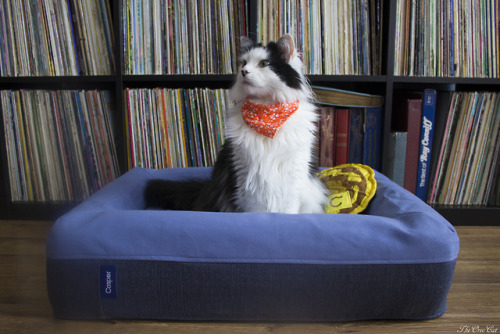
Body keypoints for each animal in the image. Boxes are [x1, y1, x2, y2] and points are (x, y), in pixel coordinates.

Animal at [145, 34, 328, 214]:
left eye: (264, 63)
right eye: (244, 63)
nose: (244, 72)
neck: (266, 115)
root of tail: (203, 189)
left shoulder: (292, 180)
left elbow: (288, 211)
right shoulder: (246, 179)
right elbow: (254, 212)